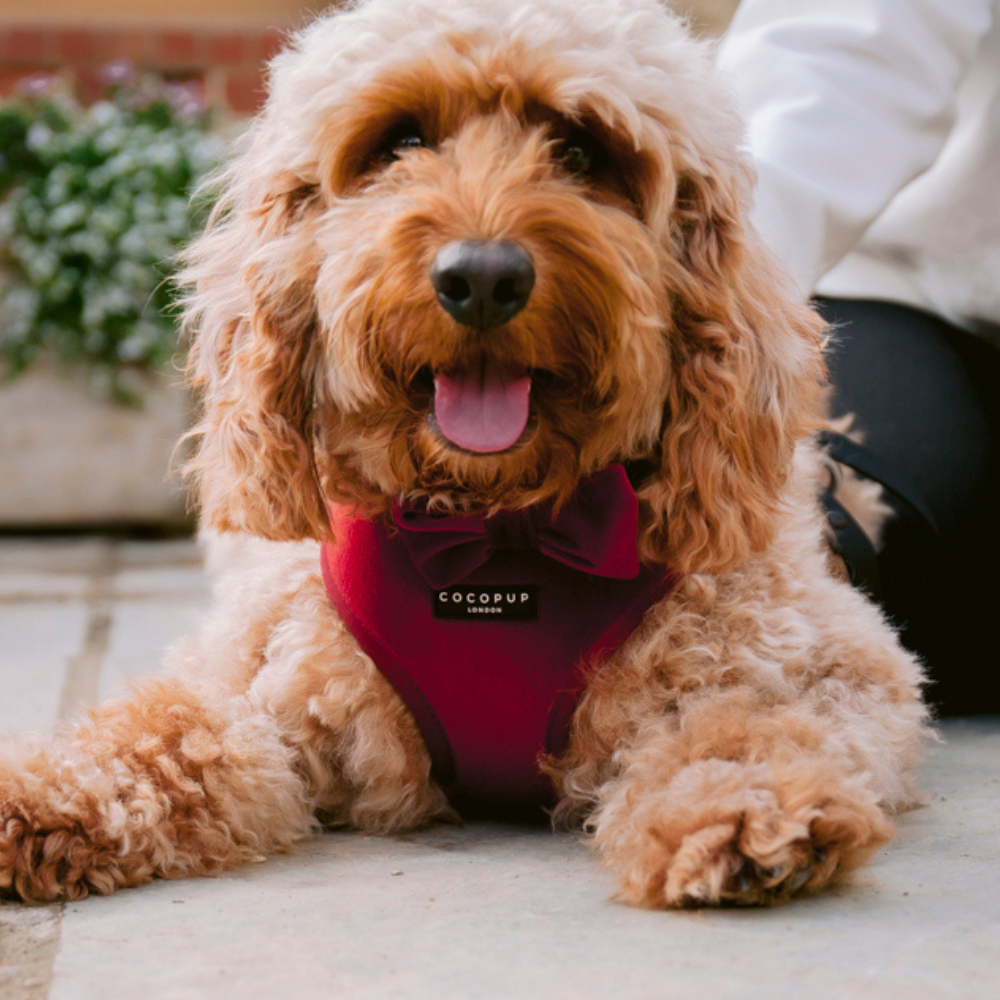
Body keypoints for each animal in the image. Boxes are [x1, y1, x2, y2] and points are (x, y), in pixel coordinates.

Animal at [0, 0, 928, 908]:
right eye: (400, 142)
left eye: (582, 150)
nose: (482, 278)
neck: (497, 530)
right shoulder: (266, 689)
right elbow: (168, 735)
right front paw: (44, 789)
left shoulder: (823, 660)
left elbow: (744, 723)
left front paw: (744, 808)